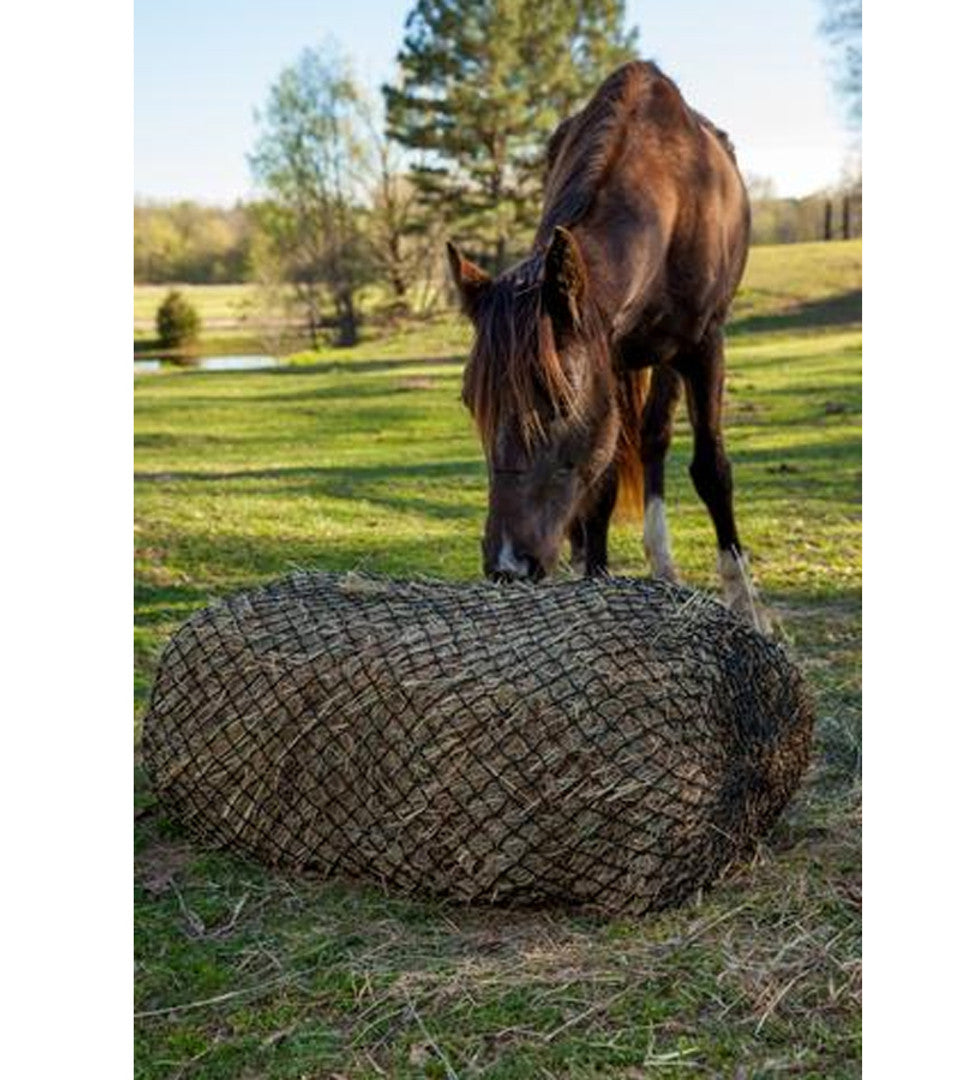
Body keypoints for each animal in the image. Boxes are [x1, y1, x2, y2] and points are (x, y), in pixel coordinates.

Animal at [449, 59, 773, 630]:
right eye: (472, 403)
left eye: (558, 401)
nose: (507, 566)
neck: (669, 195)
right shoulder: (611, 359)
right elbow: (598, 485)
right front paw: (594, 580)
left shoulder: (704, 346)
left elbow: (711, 470)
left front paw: (745, 604)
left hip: (670, 358)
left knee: (655, 436)